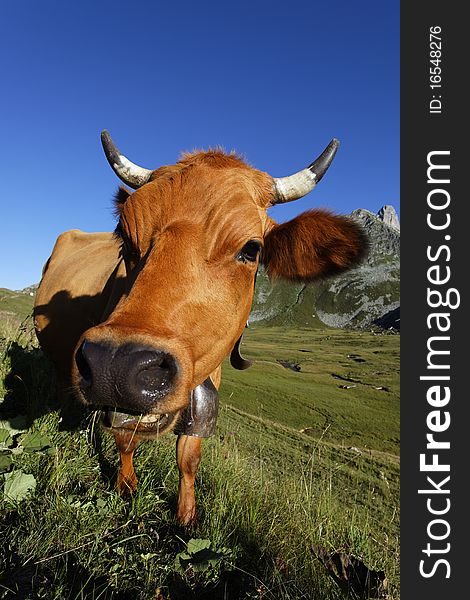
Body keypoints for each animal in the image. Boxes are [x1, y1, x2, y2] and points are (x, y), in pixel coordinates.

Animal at [35, 132, 370, 524]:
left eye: (252, 249)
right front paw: (126, 487)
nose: (116, 366)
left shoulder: (207, 380)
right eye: (125, 237)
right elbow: (125, 438)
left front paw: (186, 517)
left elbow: (189, 457)